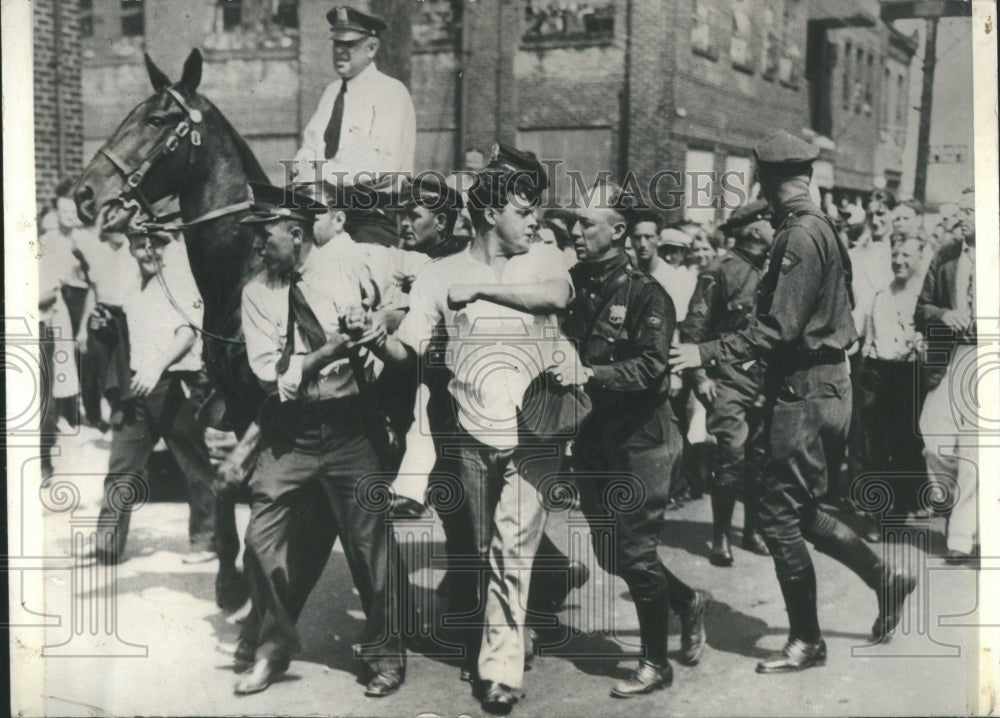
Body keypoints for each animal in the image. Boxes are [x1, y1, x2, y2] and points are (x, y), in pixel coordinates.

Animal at [74, 47, 270, 612]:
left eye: (158, 120)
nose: (84, 193)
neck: (243, 268)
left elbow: (234, 480)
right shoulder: (237, 403)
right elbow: (227, 485)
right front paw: (229, 578)